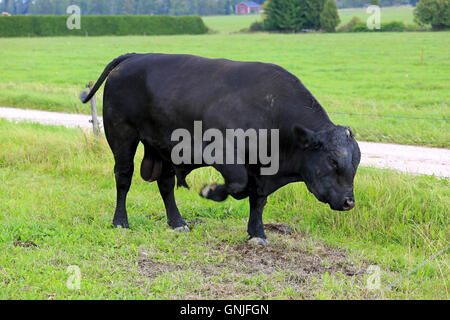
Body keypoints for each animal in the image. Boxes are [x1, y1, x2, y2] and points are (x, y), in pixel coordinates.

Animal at [81, 53, 362, 246]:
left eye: (356, 163)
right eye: (333, 161)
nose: (349, 202)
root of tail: (135, 56)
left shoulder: (262, 171)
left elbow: (258, 200)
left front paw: (257, 233)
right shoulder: (223, 153)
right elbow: (239, 184)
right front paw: (211, 191)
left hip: (163, 146)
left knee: (165, 184)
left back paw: (177, 223)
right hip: (122, 136)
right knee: (123, 178)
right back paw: (120, 221)